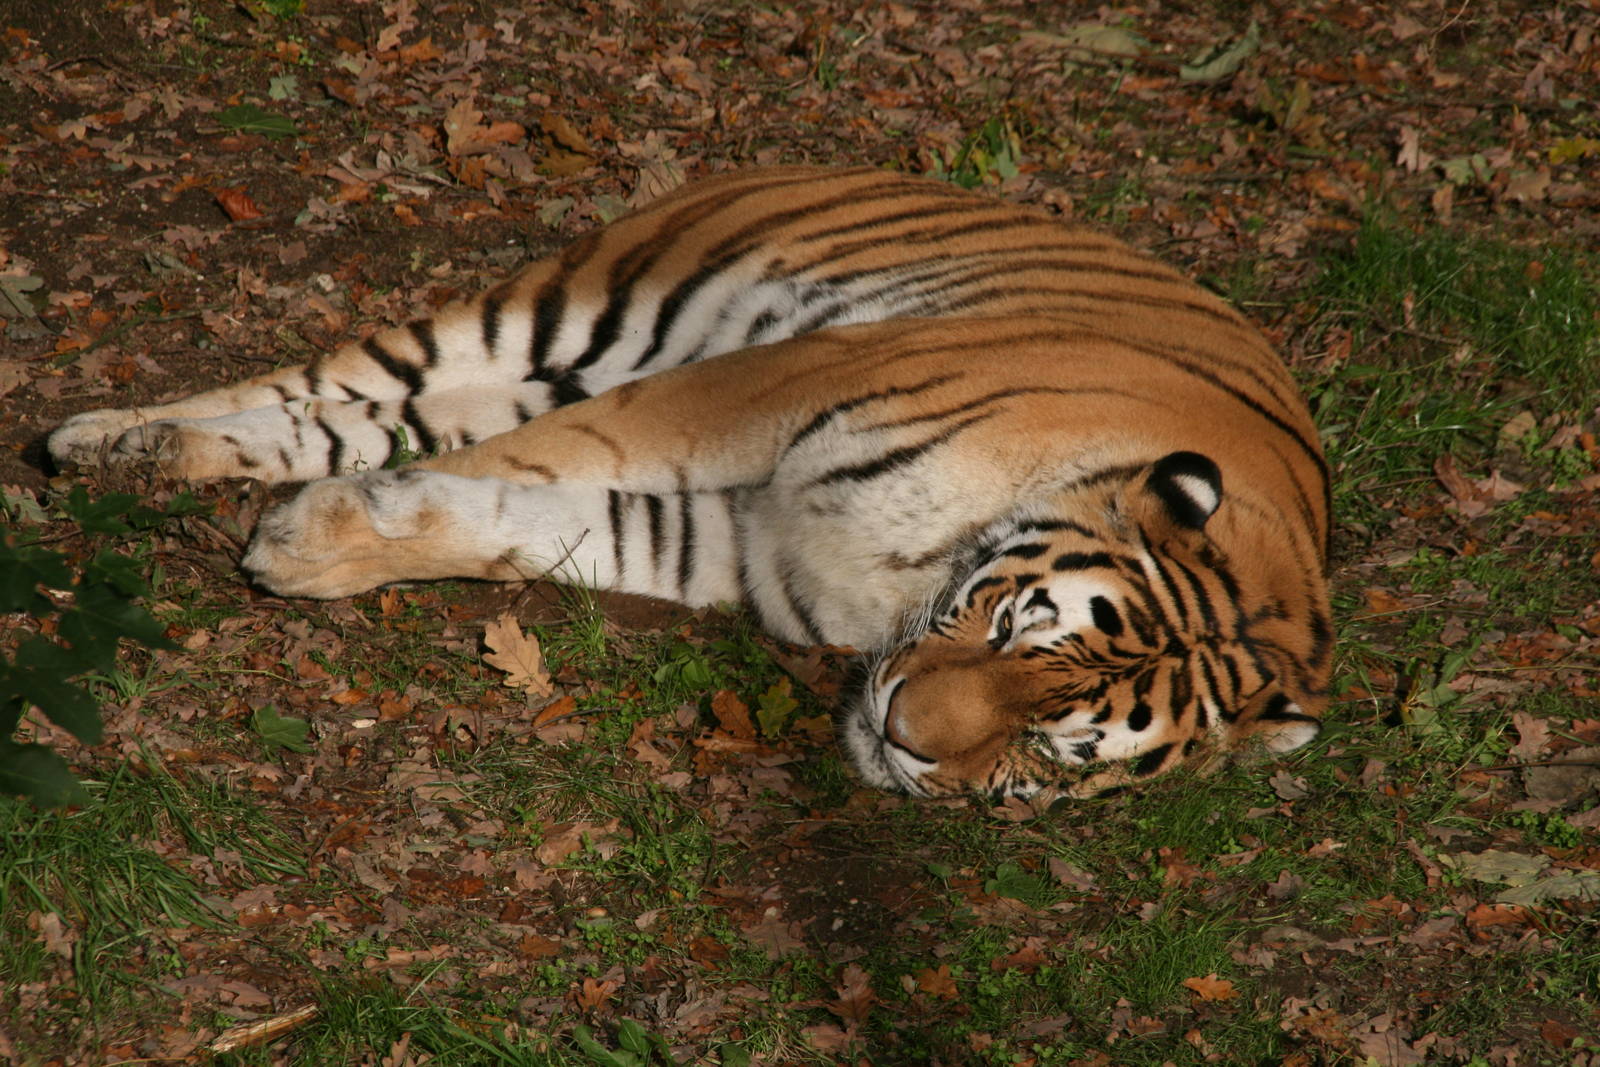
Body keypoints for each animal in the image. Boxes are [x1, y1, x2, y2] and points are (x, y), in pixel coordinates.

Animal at [48, 165, 1333, 799]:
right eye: (1018, 624)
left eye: (1054, 749)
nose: (905, 739)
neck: (908, 584)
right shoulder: (775, 384)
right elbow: (544, 464)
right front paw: (310, 538)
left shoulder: (742, 545)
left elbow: (529, 518)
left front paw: (318, 544)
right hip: (576, 310)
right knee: (326, 381)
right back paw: (97, 441)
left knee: (357, 415)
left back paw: (132, 456)